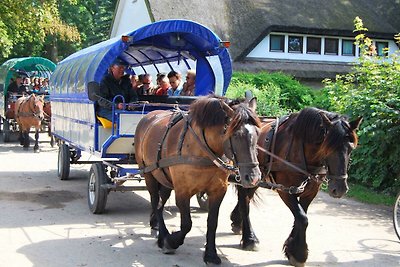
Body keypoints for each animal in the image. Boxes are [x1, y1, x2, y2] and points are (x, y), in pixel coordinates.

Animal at [135, 95, 262, 264]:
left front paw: (211, 254)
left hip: (165, 179)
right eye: (235, 135)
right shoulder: (182, 191)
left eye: (258, 133)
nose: (253, 177)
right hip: (148, 174)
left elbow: (212, 222)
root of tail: (148, 116)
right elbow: (187, 224)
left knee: (161, 204)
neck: (201, 149)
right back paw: (161, 233)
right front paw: (171, 241)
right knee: (156, 203)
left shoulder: (218, 191)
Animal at [228, 108, 362, 266]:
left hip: (255, 177)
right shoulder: (285, 190)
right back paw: (249, 238)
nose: (340, 189)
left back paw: (238, 222)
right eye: (327, 148)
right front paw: (299, 253)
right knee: (244, 199)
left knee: (246, 198)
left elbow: (300, 217)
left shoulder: (310, 191)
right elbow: (302, 218)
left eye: (351, 148)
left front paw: (292, 249)